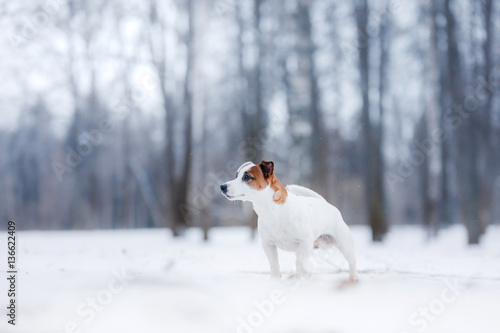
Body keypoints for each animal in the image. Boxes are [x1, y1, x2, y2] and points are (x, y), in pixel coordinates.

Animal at [221, 160, 358, 282]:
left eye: (246, 177)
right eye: (236, 175)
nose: (222, 186)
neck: (273, 212)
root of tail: (326, 204)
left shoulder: (305, 241)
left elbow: (301, 264)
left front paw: (305, 274)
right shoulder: (268, 244)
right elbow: (275, 265)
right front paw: (275, 281)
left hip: (344, 243)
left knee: (352, 261)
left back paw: (353, 279)